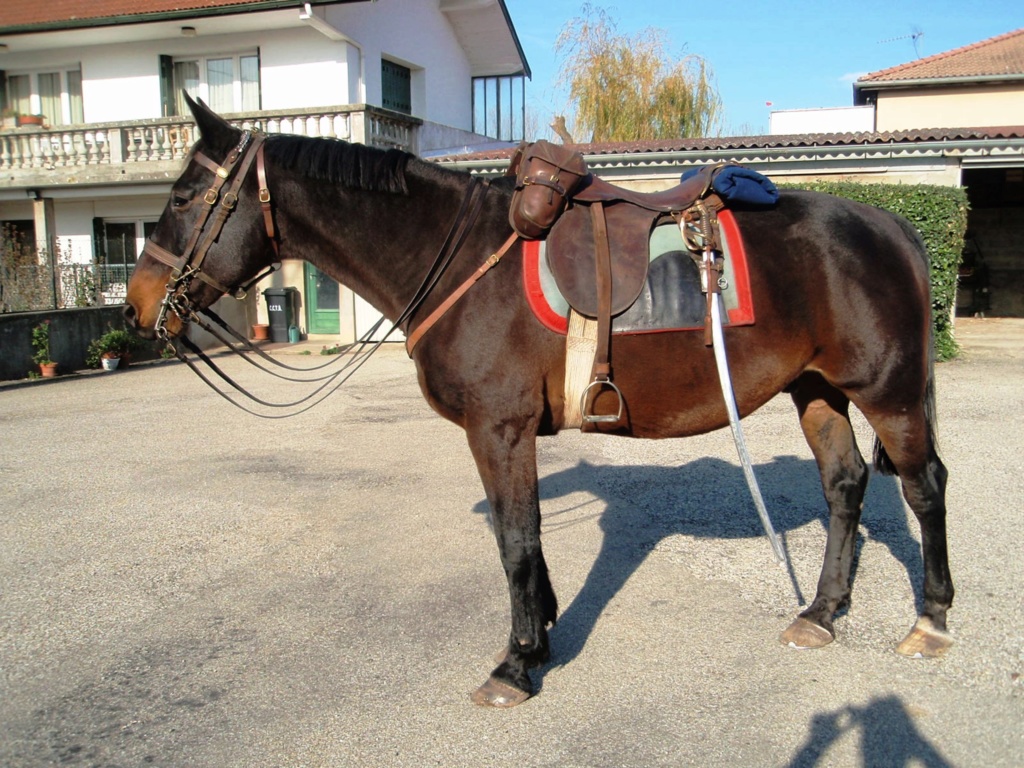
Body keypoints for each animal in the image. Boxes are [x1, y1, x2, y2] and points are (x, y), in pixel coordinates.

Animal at [125, 100, 950, 708]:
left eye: (184, 197)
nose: (137, 305)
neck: (458, 259)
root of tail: (891, 223)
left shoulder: (499, 427)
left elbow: (515, 540)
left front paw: (516, 664)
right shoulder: (506, 433)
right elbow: (521, 536)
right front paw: (540, 635)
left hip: (887, 392)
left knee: (924, 488)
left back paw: (932, 619)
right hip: (818, 389)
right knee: (845, 486)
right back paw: (821, 613)